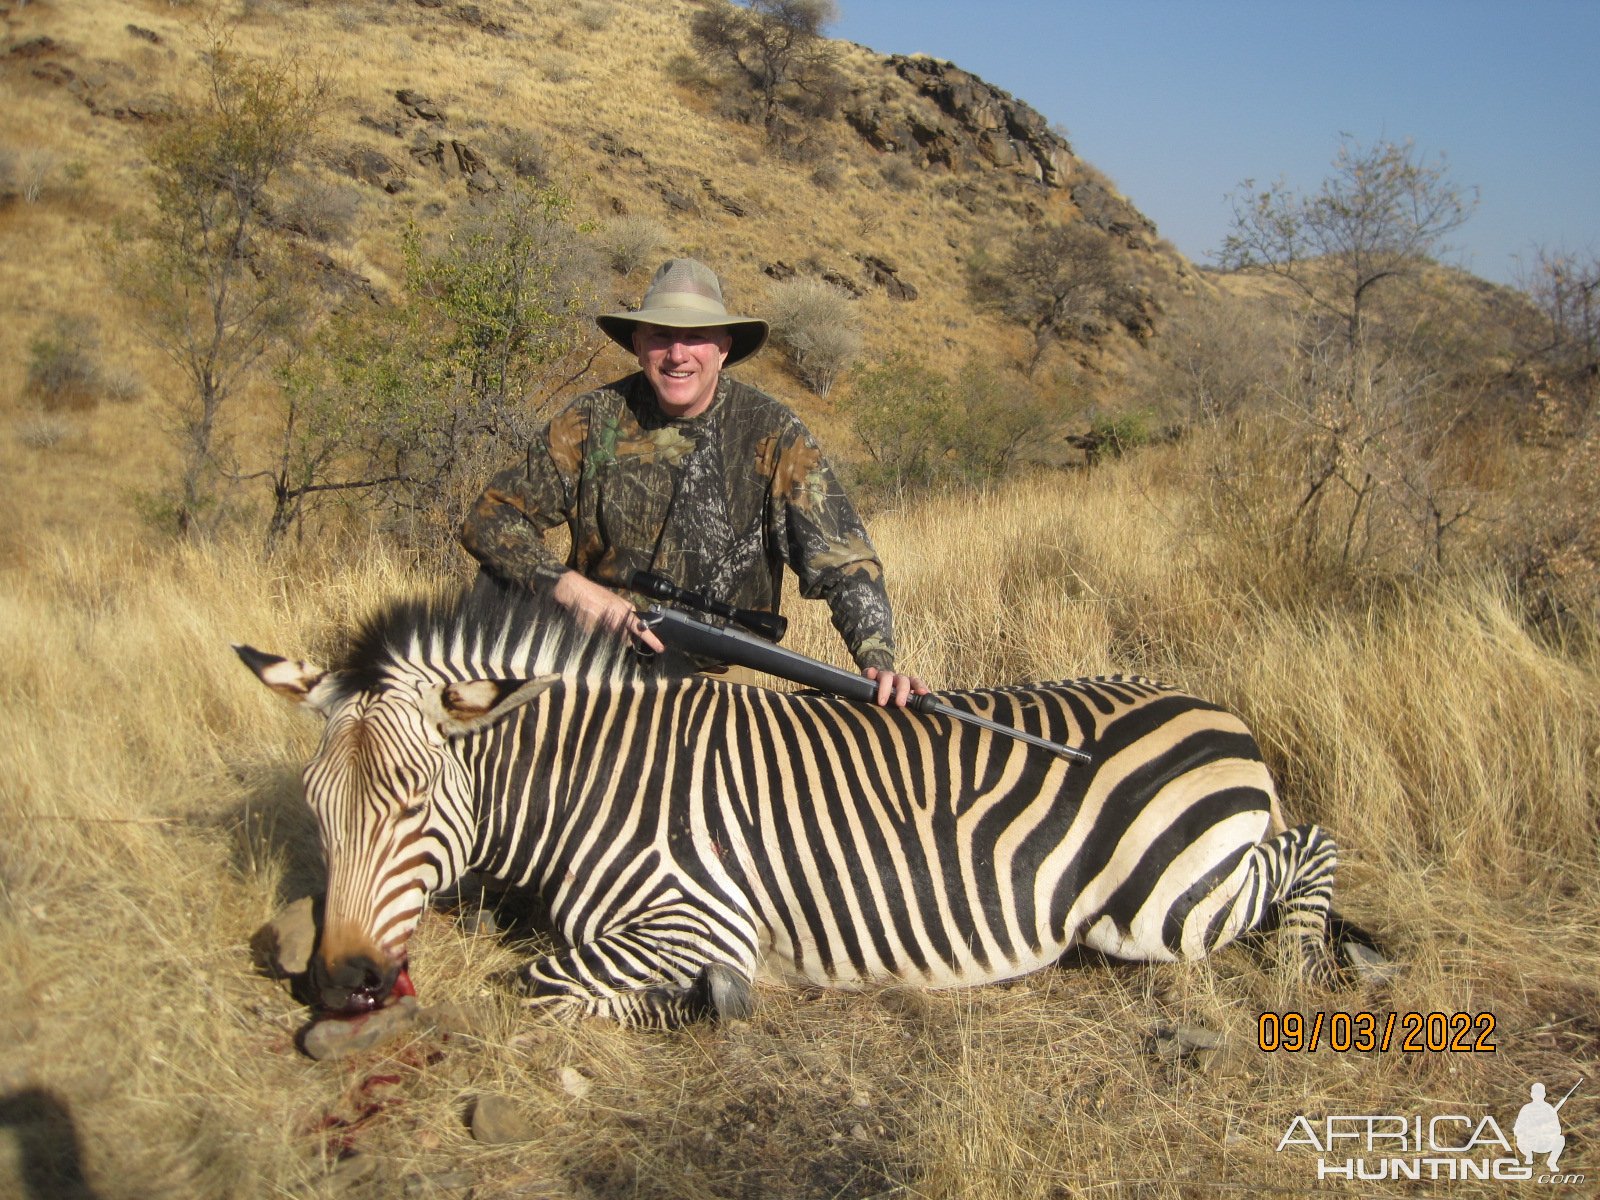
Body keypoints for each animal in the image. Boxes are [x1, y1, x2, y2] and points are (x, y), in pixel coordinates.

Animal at [240, 579, 1363, 1030]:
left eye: (414, 802)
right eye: (317, 809)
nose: (340, 984)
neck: (593, 782)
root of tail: (1217, 710)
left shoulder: (696, 913)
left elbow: (549, 982)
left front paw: (708, 1002)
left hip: (1160, 905)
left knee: (1311, 846)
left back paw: (1304, 975)